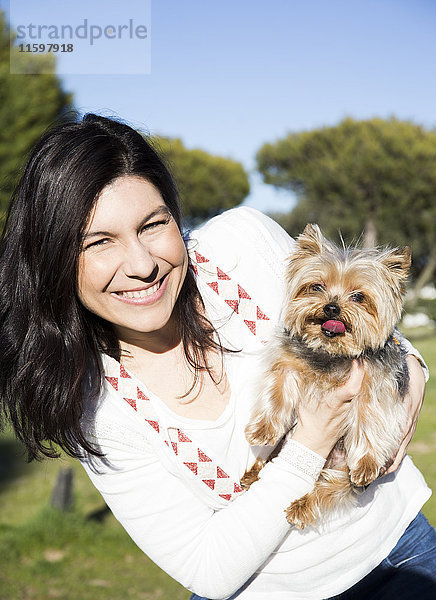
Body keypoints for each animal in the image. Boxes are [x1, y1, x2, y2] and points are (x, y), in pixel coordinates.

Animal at [244, 225, 410, 528]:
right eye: (317, 286)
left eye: (359, 296)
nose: (332, 307)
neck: (332, 352)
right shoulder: (287, 362)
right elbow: (277, 390)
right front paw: (263, 429)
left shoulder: (377, 381)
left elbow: (370, 412)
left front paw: (367, 462)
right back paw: (253, 474)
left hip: (342, 471)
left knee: (331, 488)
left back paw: (301, 507)